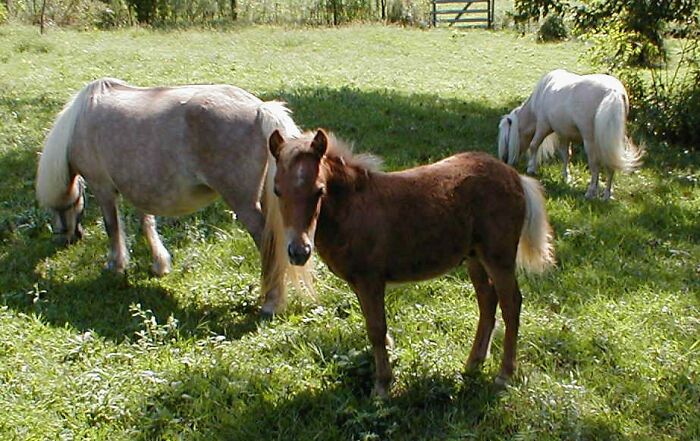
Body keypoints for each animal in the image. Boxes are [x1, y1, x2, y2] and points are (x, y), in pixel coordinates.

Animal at [35, 78, 312, 315]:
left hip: (244, 204)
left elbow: (112, 227)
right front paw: (160, 264)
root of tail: (260, 109)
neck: (80, 120)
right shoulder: (140, 188)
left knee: (268, 244)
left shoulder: (102, 187)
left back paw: (271, 303)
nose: (67, 239)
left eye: (64, 207)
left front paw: (116, 265)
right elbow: (147, 223)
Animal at [268, 128, 556, 397]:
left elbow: (376, 328)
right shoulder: (359, 283)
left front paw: (383, 386)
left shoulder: (371, 280)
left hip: (499, 257)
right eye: (277, 191)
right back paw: (473, 363)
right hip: (475, 258)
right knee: (488, 301)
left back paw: (504, 375)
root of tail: (515, 176)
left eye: (319, 190)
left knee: (511, 304)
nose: (299, 251)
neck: (353, 209)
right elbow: (374, 327)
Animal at [497, 69, 643, 200]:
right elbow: (566, 155)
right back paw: (606, 195)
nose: (504, 160)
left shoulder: (543, 126)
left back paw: (590, 193)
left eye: (507, 139)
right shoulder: (564, 134)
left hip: (590, 141)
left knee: (594, 164)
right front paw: (566, 178)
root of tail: (613, 91)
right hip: (607, 141)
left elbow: (534, 145)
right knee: (609, 165)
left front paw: (531, 169)